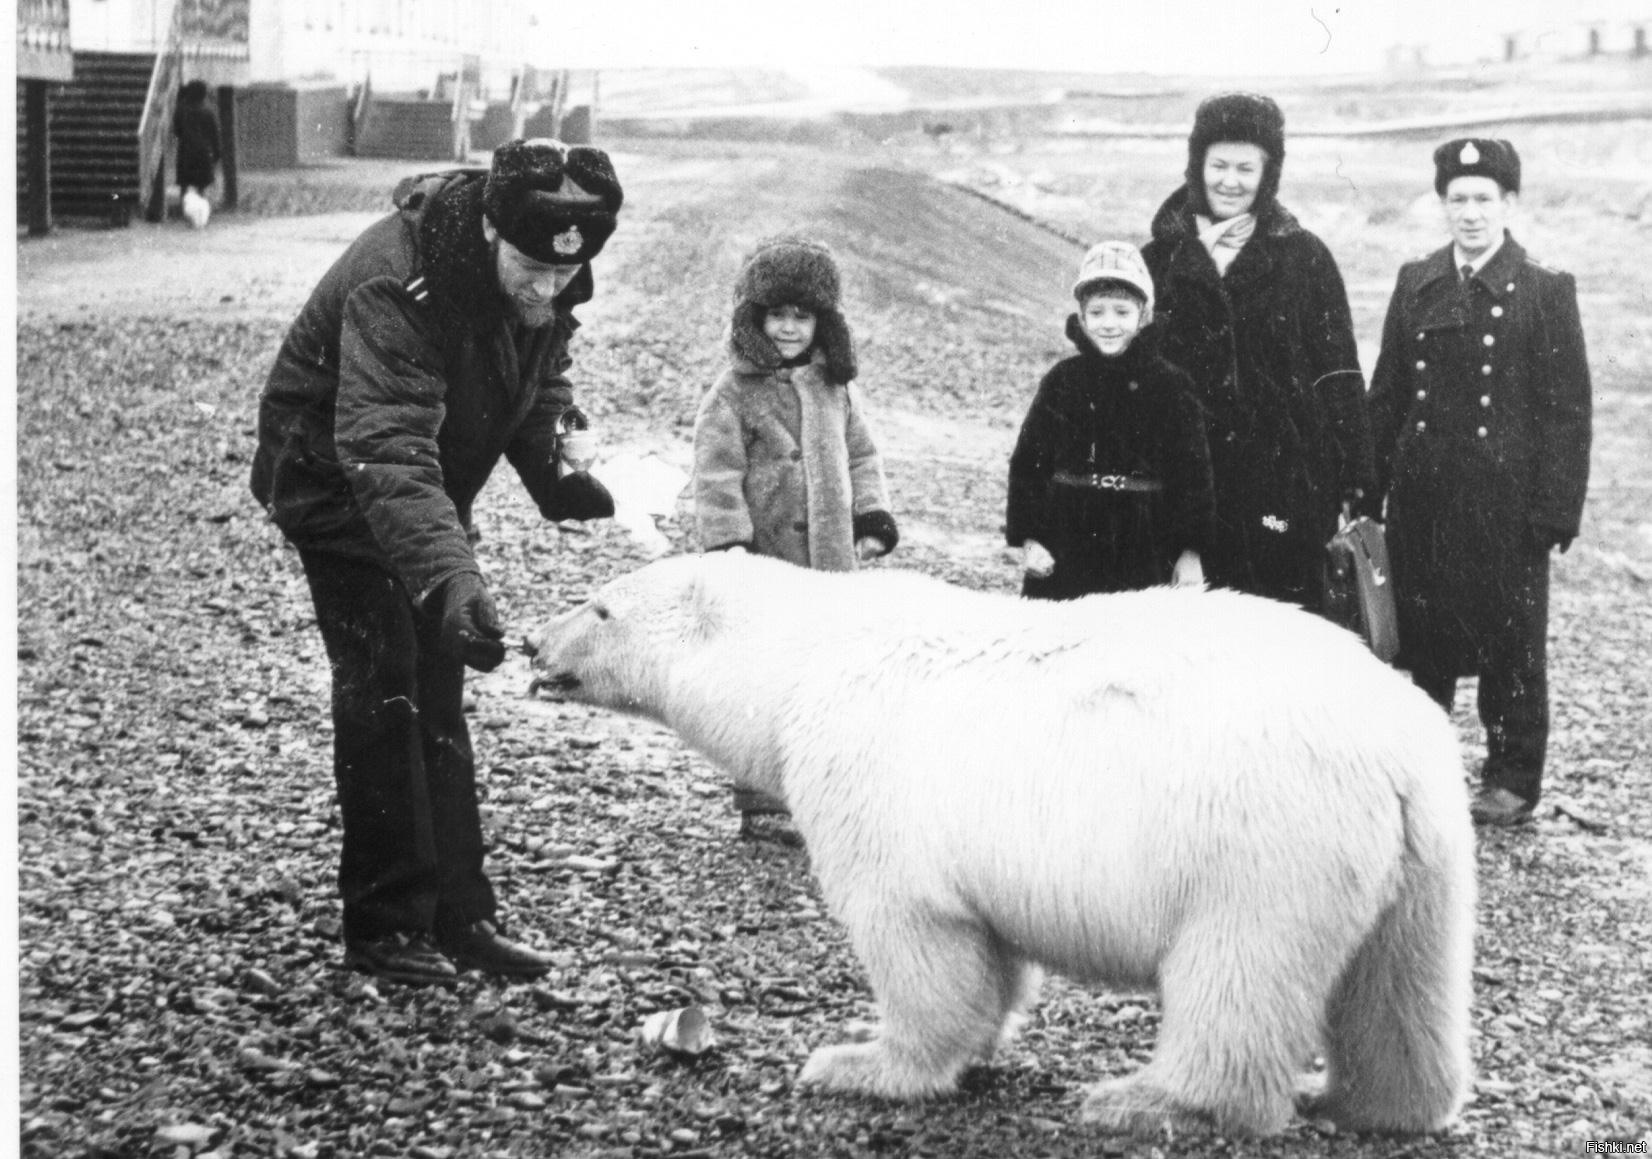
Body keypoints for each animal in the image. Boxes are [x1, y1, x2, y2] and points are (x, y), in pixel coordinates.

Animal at [525, 554, 1473, 1142]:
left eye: (601, 605)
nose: (532, 642)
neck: (805, 661)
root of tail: (1400, 752)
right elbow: (992, 955)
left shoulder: (866, 770)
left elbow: (916, 935)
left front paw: (860, 1059)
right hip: (1422, 854)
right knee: (1402, 980)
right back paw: (1364, 1100)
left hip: (1259, 838)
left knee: (1238, 971)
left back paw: (1147, 1099)